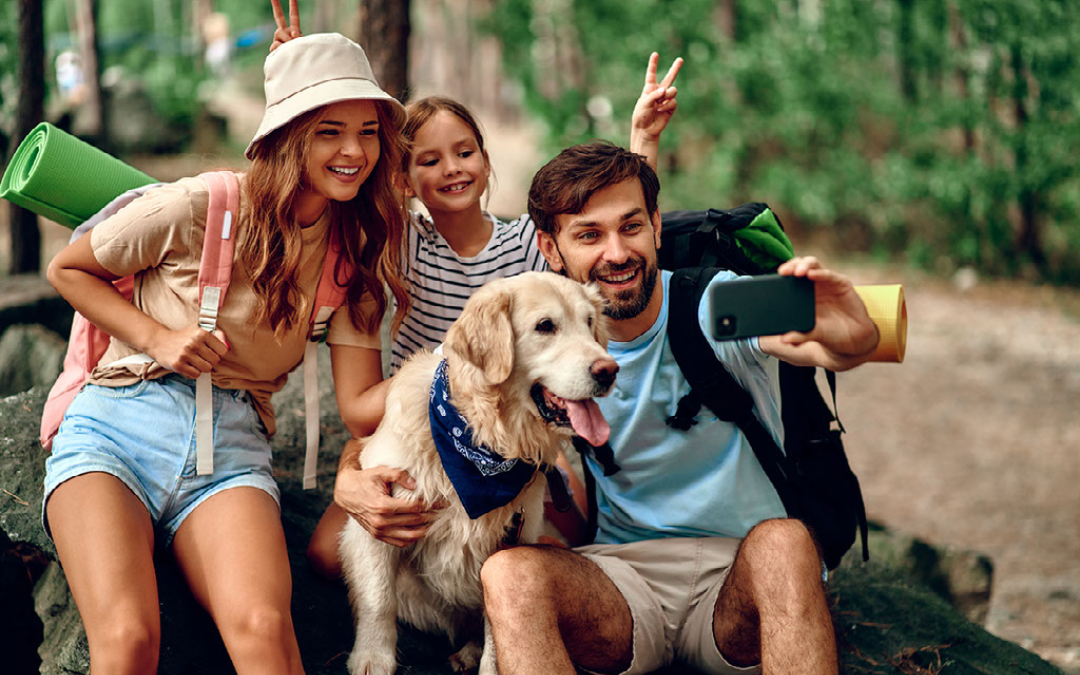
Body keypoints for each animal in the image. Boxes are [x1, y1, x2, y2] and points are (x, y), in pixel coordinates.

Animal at [341, 271, 622, 673]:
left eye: (589, 322)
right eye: (545, 326)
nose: (609, 371)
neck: (483, 439)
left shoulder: (510, 546)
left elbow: (496, 628)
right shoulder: (378, 516)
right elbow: (378, 599)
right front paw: (372, 658)